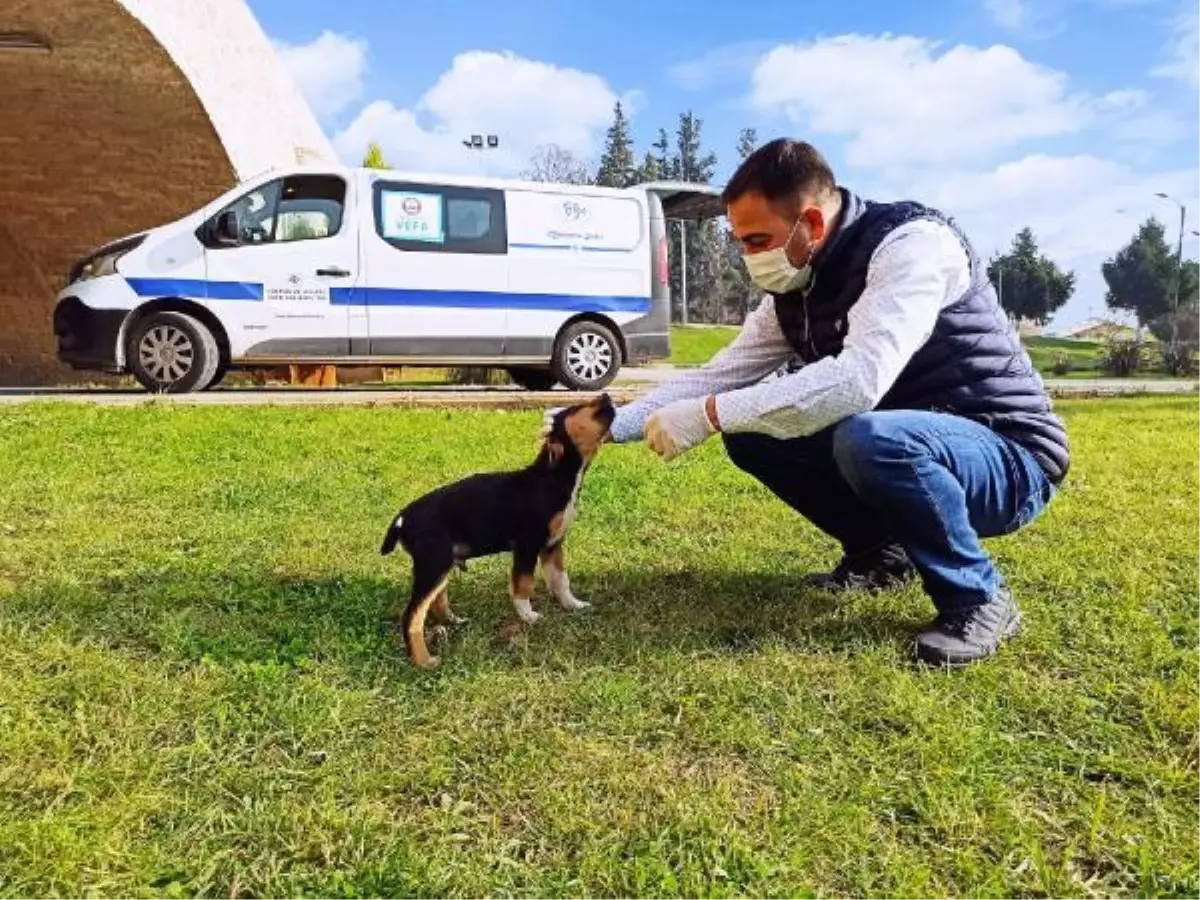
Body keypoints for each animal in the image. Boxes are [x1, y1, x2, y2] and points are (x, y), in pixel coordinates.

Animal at [379, 393, 614, 672]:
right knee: (412, 616)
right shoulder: (527, 545)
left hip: (441, 565)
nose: (606, 395)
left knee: (435, 601)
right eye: (577, 407)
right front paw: (528, 616)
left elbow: (561, 580)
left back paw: (453, 622)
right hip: (433, 565)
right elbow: (523, 585)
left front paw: (573, 605)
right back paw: (424, 660)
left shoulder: (553, 545)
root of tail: (403, 517)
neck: (554, 478)